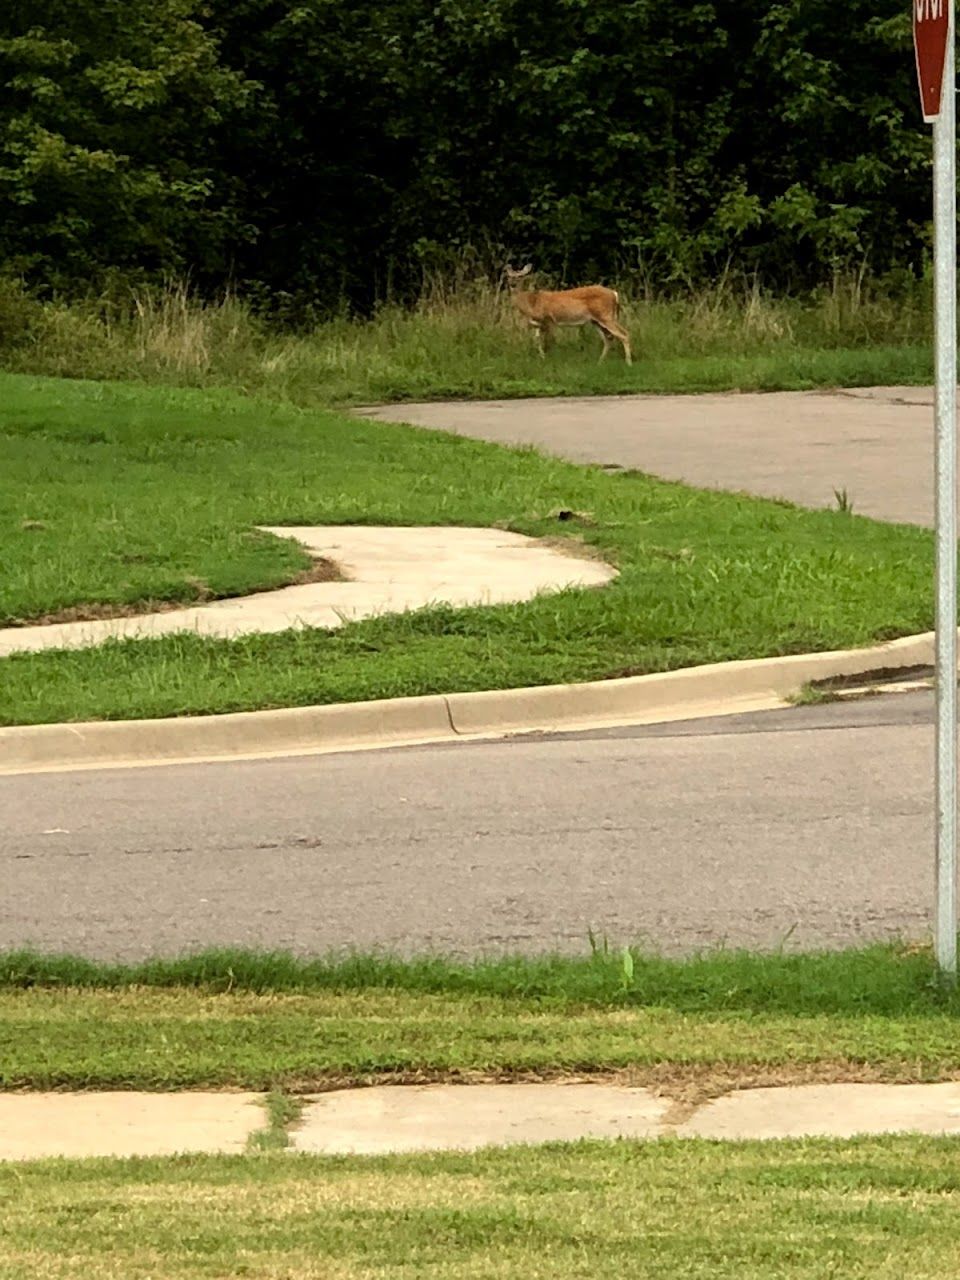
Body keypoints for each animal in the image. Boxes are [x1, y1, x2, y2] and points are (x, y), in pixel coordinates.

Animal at [504, 264, 632, 363]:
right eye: (508, 276)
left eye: (520, 276)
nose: (512, 284)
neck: (531, 304)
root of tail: (614, 294)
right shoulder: (538, 325)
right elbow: (537, 341)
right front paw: (542, 358)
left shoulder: (549, 320)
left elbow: (549, 342)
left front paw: (550, 359)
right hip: (596, 320)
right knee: (608, 338)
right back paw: (599, 362)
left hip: (606, 315)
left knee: (624, 334)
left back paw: (628, 363)